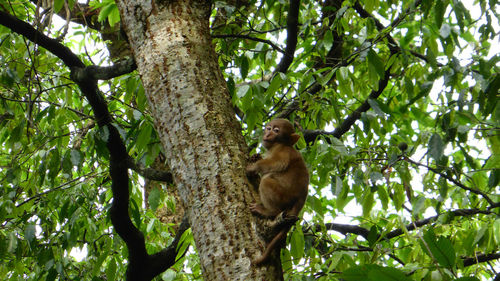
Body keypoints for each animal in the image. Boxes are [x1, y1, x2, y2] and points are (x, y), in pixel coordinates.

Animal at [246, 118, 308, 264]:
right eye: (269, 128)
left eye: (276, 130)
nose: (267, 134)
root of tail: (301, 199)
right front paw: (255, 156)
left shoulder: (283, 152)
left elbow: (277, 164)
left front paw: (254, 167)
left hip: (283, 196)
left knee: (266, 180)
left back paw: (269, 211)